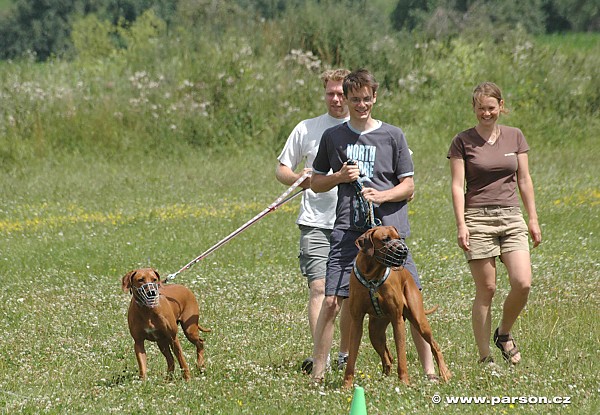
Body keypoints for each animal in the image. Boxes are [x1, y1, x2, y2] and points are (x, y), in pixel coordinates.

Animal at [342, 226, 450, 388]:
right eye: (385, 239)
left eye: (399, 238)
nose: (404, 251)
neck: (372, 276)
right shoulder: (356, 321)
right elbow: (351, 359)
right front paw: (346, 386)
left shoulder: (397, 320)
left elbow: (402, 355)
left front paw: (404, 381)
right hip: (375, 332)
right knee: (388, 357)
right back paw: (383, 378)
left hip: (419, 320)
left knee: (434, 346)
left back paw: (444, 373)